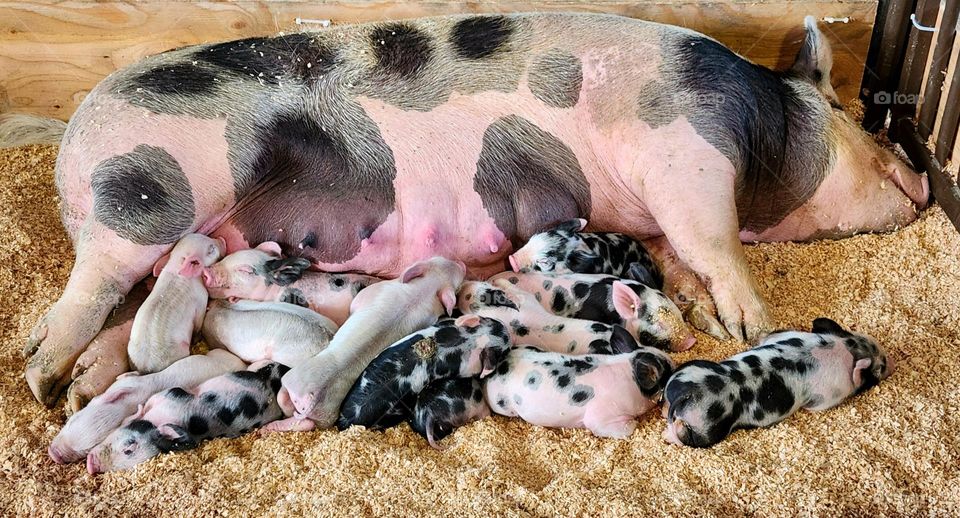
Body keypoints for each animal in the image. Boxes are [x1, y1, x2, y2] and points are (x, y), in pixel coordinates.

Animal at [127, 234, 226, 374]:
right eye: (211, 249)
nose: (221, 238)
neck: (178, 264)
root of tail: (147, 367)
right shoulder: (201, 300)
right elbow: (198, 324)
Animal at [269, 257, 466, 431]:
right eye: (442, 259)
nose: (463, 264)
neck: (425, 290)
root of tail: (314, 398)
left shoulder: (374, 291)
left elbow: (356, 304)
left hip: (296, 386)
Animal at [484, 344, 675, 438]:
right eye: (668, 374)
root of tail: (501, 362)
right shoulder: (601, 418)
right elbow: (628, 427)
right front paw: (634, 423)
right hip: (501, 403)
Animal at [662, 318, 893, 448]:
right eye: (879, 368)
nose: (891, 362)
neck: (845, 347)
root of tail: (689, 393)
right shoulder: (828, 395)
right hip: (707, 431)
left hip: (685, 371)